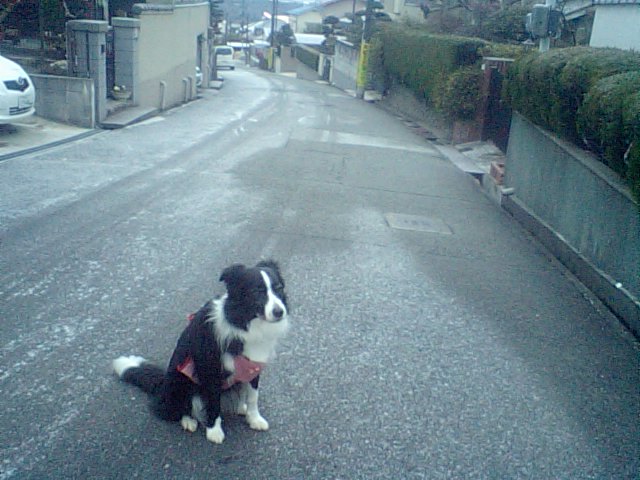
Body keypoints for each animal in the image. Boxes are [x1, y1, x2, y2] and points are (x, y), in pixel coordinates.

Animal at [112, 260, 289, 444]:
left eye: (279, 288)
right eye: (256, 291)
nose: (279, 312)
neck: (244, 323)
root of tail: (162, 383)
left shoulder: (253, 365)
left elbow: (253, 396)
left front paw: (254, 419)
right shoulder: (210, 369)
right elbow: (213, 401)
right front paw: (214, 431)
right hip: (179, 382)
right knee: (179, 408)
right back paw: (188, 420)